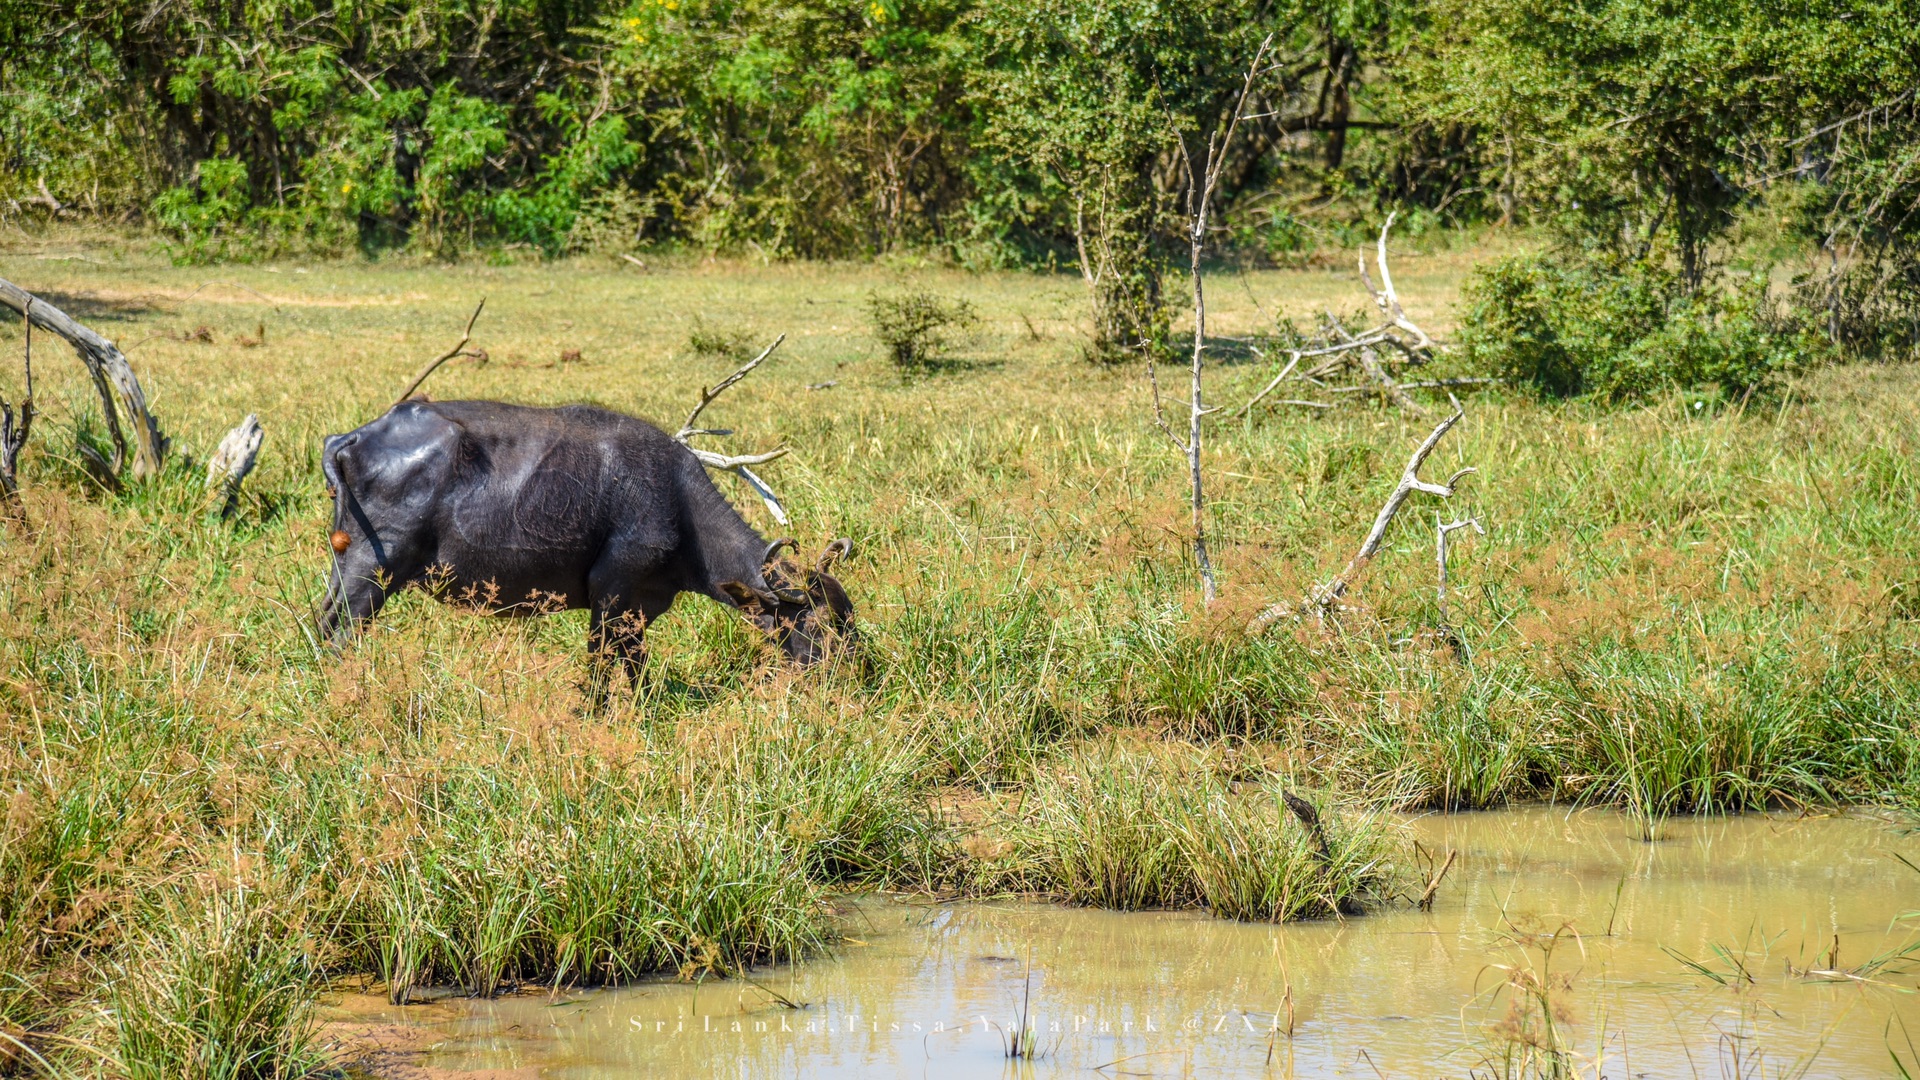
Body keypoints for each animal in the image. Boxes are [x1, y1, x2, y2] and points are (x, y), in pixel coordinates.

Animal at [320, 399, 856, 684]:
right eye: (821, 623)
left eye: (849, 615)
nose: (856, 672)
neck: (676, 504)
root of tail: (357, 436)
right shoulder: (611, 597)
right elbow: (601, 667)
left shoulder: (641, 608)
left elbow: (635, 668)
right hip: (374, 570)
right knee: (341, 630)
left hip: (347, 563)